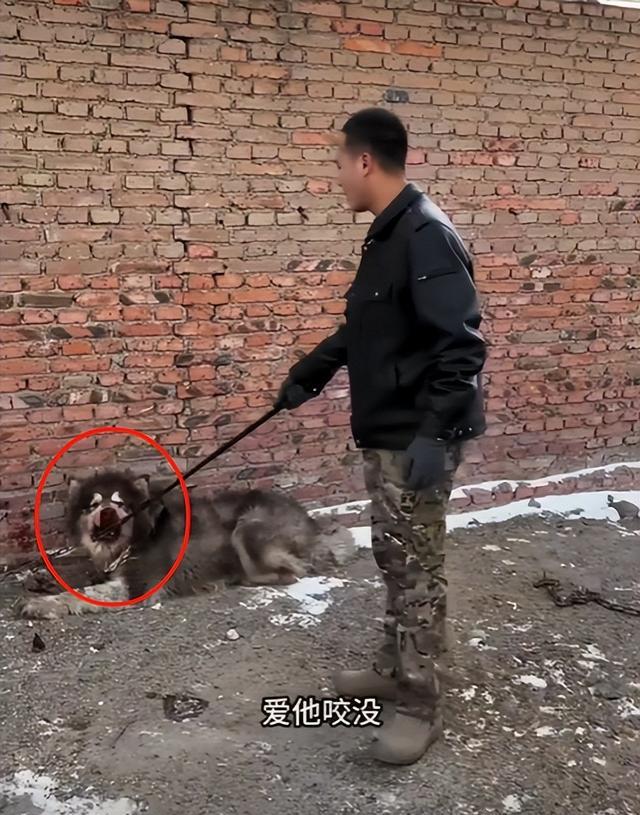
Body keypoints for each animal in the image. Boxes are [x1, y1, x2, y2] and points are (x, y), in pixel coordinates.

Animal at [17, 469, 356, 620]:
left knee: (293, 571)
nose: (108, 512)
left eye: (120, 503)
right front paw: (42, 581)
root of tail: (311, 523)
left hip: (248, 526)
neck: (136, 540)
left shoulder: (137, 586)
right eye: (94, 504)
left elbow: (80, 593)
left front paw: (41, 604)